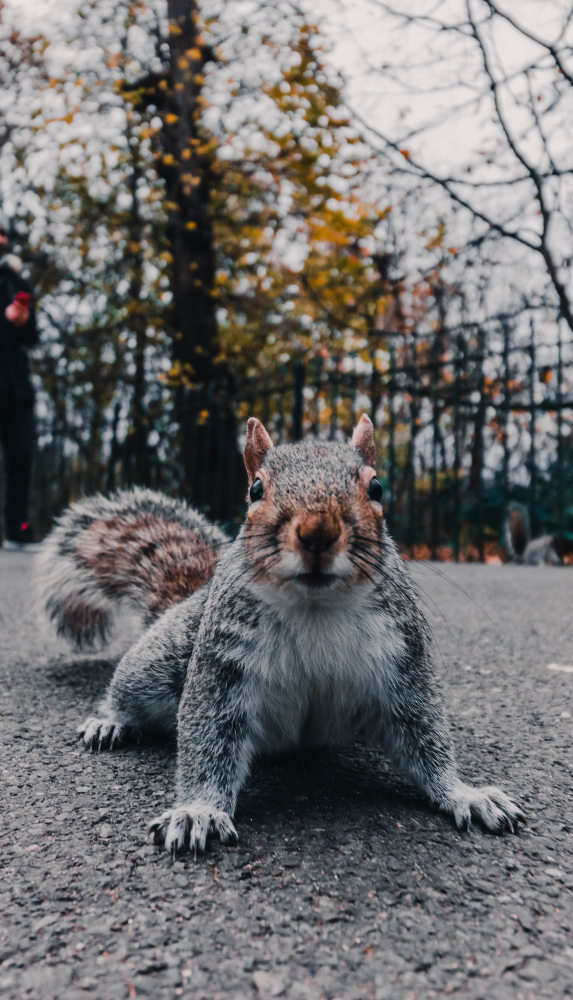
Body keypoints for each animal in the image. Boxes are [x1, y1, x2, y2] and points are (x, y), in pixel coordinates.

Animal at [39, 415, 524, 854]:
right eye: (255, 490)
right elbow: (207, 739)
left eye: (377, 488)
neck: (316, 608)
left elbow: (425, 735)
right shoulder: (221, 666)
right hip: (161, 663)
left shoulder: (401, 660)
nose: (318, 532)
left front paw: (464, 794)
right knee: (127, 689)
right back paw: (109, 721)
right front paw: (198, 811)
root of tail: (195, 594)